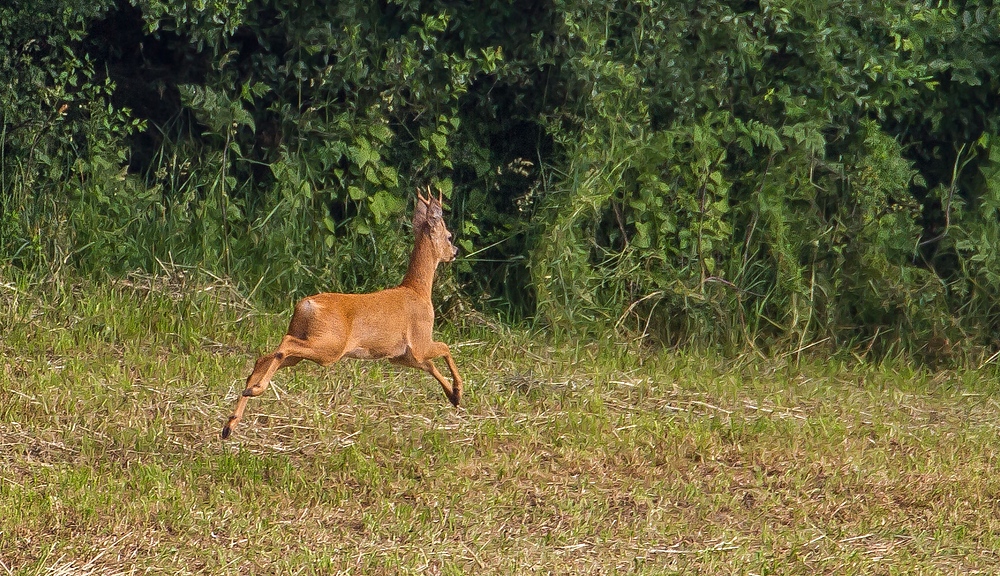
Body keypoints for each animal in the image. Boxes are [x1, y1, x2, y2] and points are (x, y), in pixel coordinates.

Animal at [221, 187, 462, 438]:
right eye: (449, 236)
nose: (455, 251)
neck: (417, 290)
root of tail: (307, 305)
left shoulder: (402, 355)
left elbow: (430, 365)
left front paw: (453, 397)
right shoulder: (420, 339)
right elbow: (445, 348)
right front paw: (459, 391)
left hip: (308, 341)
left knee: (264, 357)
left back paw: (232, 421)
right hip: (330, 346)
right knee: (285, 345)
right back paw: (255, 391)